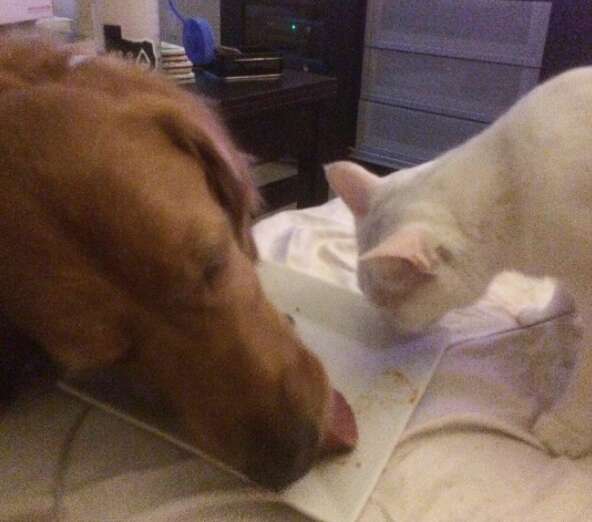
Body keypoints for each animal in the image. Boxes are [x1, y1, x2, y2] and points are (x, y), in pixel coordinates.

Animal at [326, 66, 592, 456]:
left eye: (388, 305)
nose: (387, 327)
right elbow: (563, 289)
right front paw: (546, 314)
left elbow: (586, 379)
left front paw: (566, 428)